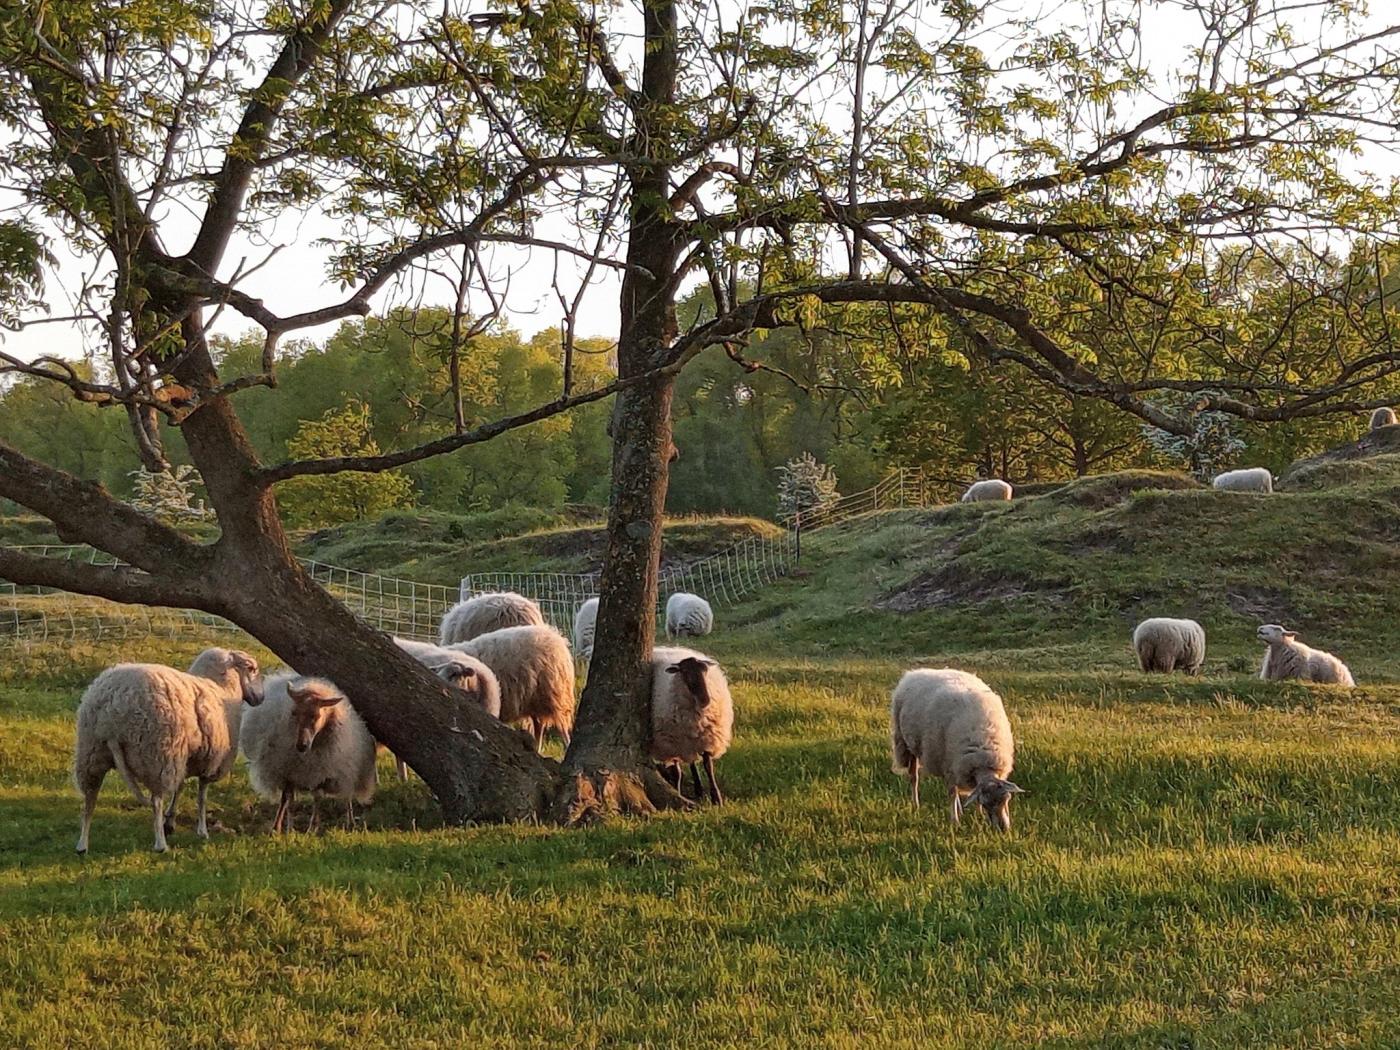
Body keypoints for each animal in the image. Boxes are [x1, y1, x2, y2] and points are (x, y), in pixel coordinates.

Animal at [73, 649, 263, 856]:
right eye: (251, 669)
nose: (260, 699)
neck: (222, 685)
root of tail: (112, 716)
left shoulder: (186, 756)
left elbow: (179, 787)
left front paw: (171, 821)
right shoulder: (210, 760)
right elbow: (202, 796)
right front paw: (202, 830)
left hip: (91, 752)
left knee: (89, 798)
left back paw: (82, 844)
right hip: (158, 754)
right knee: (156, 800)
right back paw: (160, 844)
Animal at [239, 674, 378, 840]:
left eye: (316, 715)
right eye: (294, 713)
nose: (301, 745)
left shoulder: (320, 773)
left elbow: (317, 798)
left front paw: (312, 828)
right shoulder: (288, 772)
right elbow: (288, 801)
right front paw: (286, 829)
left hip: (347, 769)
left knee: (347, 796)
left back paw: (350, 822)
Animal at [646, 649, 733, 806]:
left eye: (705, 671)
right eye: (685, 672)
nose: (705, 700)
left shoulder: (707, 739)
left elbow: (708, 766)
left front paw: (716, 798)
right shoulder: (672, 743)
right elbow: (677, 772)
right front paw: (677, 793)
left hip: (691, 740)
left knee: (692, 762)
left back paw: (699, 790)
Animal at [890, 669, 1024, 834]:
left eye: (1007, 799)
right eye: (986, 803)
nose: (1003, 829)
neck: (982, 751)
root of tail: (913, 673)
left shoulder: (960, 767)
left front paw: (978, 815)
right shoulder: (949, 765)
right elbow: (952, 793)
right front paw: (955, 821)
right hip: (908, 745)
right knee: (914, 777)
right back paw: (916, 805)